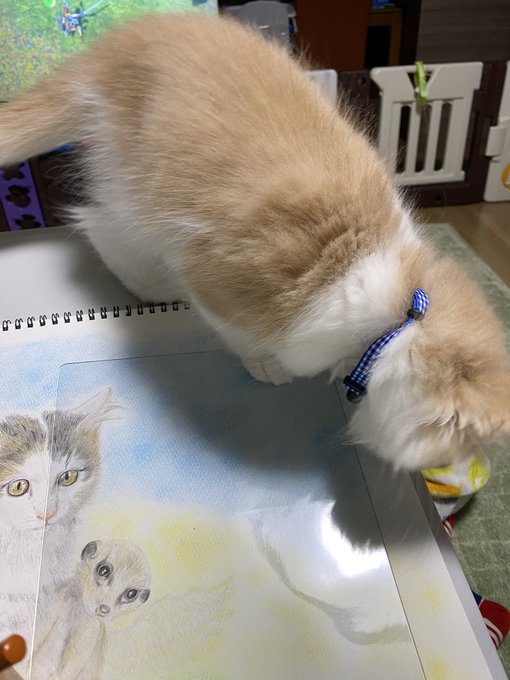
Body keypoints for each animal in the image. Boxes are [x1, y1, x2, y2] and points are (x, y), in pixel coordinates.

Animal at [0, 14, 509, 470]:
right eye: (464, 450)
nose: (460, 465)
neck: (399, 310)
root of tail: (123, 39)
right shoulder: (213, 277)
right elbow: (238, 333)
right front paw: (266, 366)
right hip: (136, 188)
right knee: (96, 226)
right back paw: (150, 288)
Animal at [31, 539, 151, 680]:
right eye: (103, 570)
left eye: (131, 594)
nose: (104, 608)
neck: (77, 611)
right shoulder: (57, 599)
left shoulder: (90, 631)